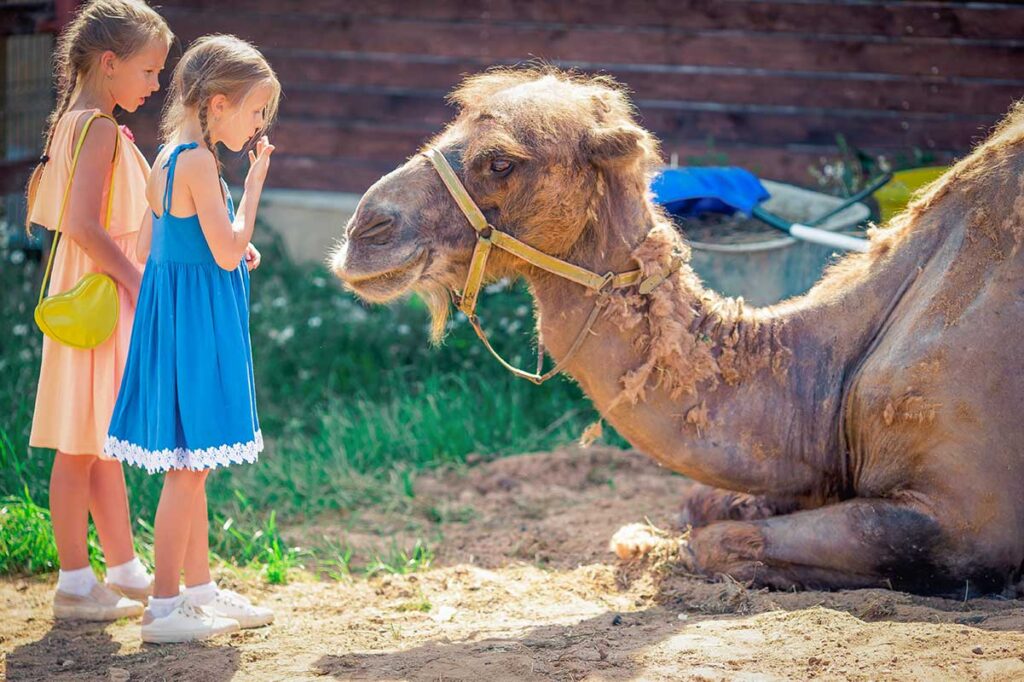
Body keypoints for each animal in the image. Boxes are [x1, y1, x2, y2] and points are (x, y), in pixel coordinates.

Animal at [331, 67, 1024, 595]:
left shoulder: (961, 520)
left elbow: (716, 542)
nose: (366, 230)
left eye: (500, 160)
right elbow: (702, 504)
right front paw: (645, 537)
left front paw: (652, 547)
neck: (824, 377)